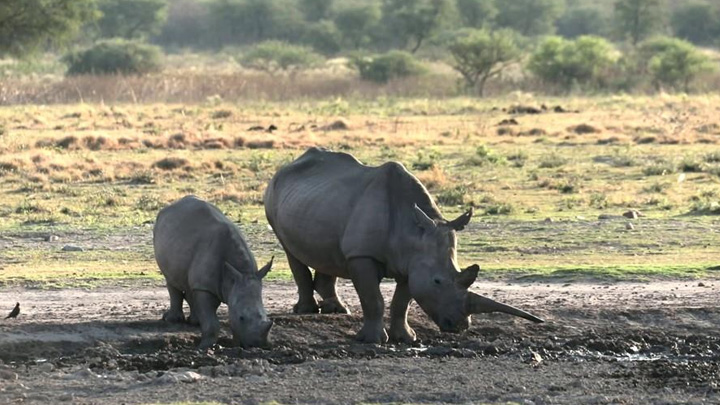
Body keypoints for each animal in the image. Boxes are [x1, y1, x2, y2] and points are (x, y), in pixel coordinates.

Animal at [153, 195, 274, 348]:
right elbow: (211, 321)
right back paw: (173, 320)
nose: (258, 344)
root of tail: (170, 207)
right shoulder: (205, 287)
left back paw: (194, 322)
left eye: (266, 315)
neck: (239, 274)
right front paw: (205, 346)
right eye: (242, 318)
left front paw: (235, 344)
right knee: (171, 279)